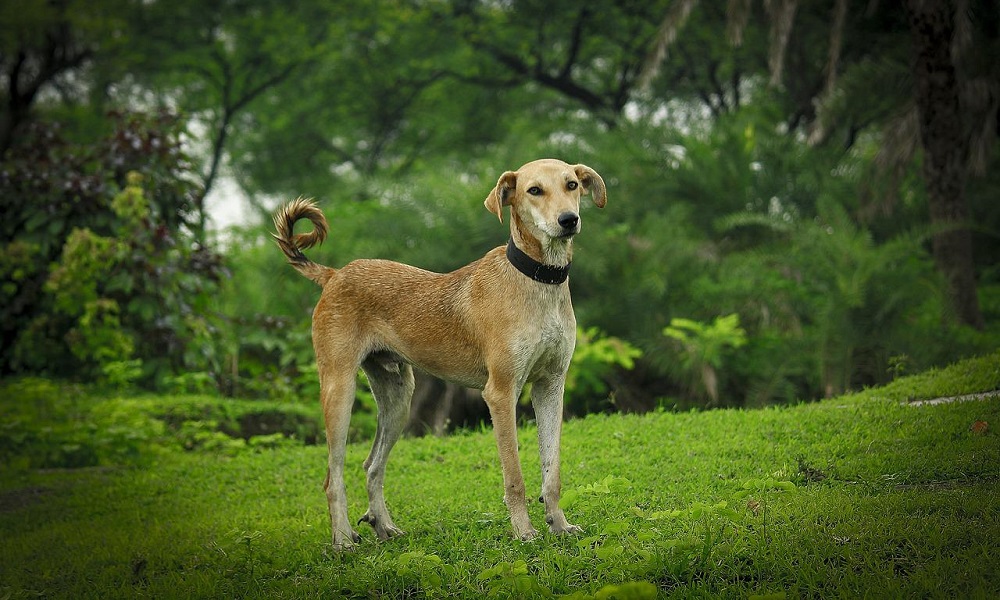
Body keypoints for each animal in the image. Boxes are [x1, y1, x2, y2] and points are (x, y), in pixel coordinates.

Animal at [270, 158, 604, 548]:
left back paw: (383, 526)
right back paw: (342, 541)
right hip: (340, 392)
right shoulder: (501, 393)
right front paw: (524, 532)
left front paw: (559, 525)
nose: (568, 220)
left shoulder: (550, 387)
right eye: (534, 190)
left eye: (571, 185)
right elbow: (515, 477)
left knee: (372, 466)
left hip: (398, 398)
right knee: (332, 476)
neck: (536, 279)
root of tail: (335, 274)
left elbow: (552, 473)